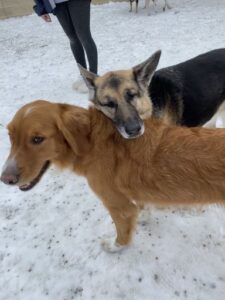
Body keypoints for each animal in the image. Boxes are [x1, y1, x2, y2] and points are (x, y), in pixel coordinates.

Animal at [1, 99, 225, 252]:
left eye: (37, 139)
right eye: (10, 136)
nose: (5, 179)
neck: (92, 143)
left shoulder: (117, 205)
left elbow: (122, 233)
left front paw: (114, 246)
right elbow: (141, 205)